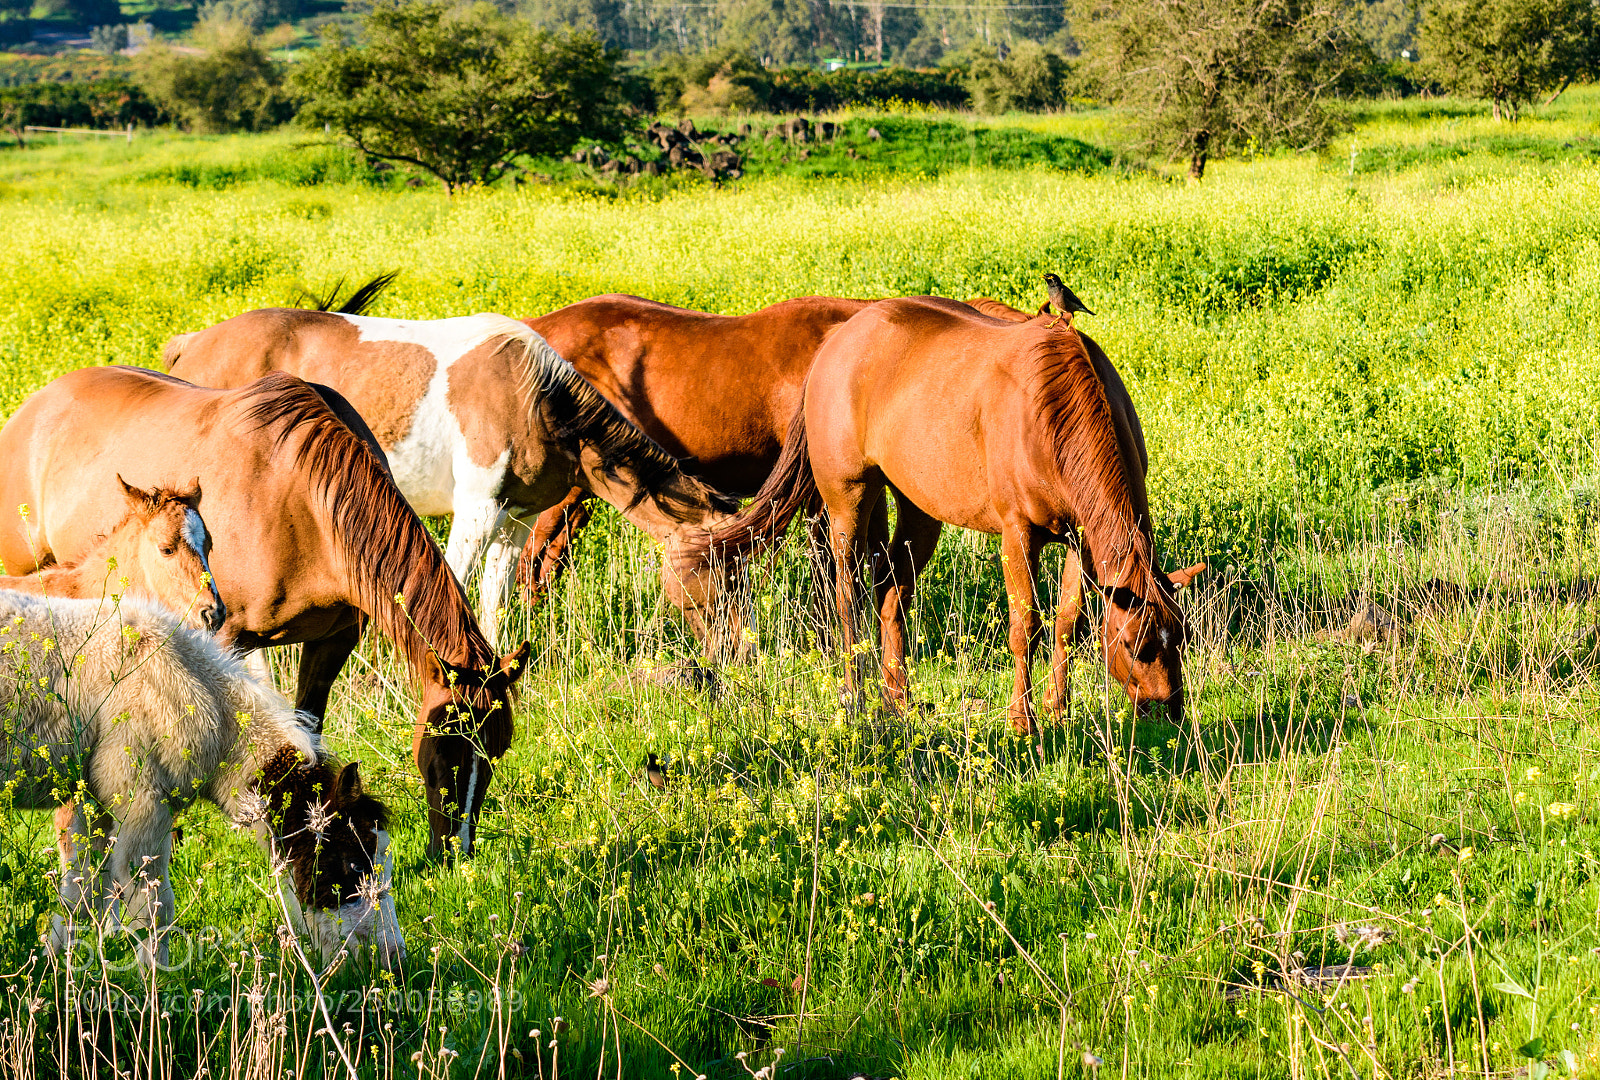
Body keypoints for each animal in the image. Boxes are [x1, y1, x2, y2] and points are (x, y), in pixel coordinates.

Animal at [0, 590, 402, 968]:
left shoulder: (93, 797)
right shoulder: (143, 800)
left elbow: (79, 895)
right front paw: (159, 985)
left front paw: (55, 972)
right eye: (353, 864)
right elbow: (152, 903)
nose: (392, 957)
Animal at [162, 310, 739, 648]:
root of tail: (192, 340)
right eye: (723, 575)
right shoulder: (477, 512)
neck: (533, 397)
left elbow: (493, 596)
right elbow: (454, 585)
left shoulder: (517, 521)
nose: (742, 650)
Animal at [683, 298, 1202, 736]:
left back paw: (898, 702)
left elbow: (1067, 623)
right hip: (849, 500)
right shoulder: (1018, 534)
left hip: (918, 508)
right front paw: (1024, 722)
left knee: (891, 592)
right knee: (847, 597)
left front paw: (1057, 710)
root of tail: (837, 340)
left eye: (1181, 638)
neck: (1053, 407)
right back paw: (854, 696)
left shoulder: (1082, 538)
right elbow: (1025, 628)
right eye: (1135, 646)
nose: (1168, 711)